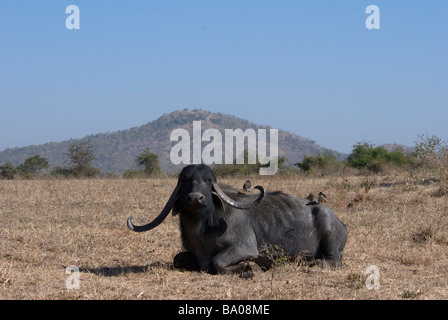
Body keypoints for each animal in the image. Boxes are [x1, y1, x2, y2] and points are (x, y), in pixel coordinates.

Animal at [128, 165, 348, 272]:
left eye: (207, 181)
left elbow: (217, 262)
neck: (204, 229)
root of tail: (340, 222)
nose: (195, 198)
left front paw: (249, 268)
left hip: (329, 237)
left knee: (334, 261)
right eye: (184, 180)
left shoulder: (244, 248)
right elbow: (178, 259)